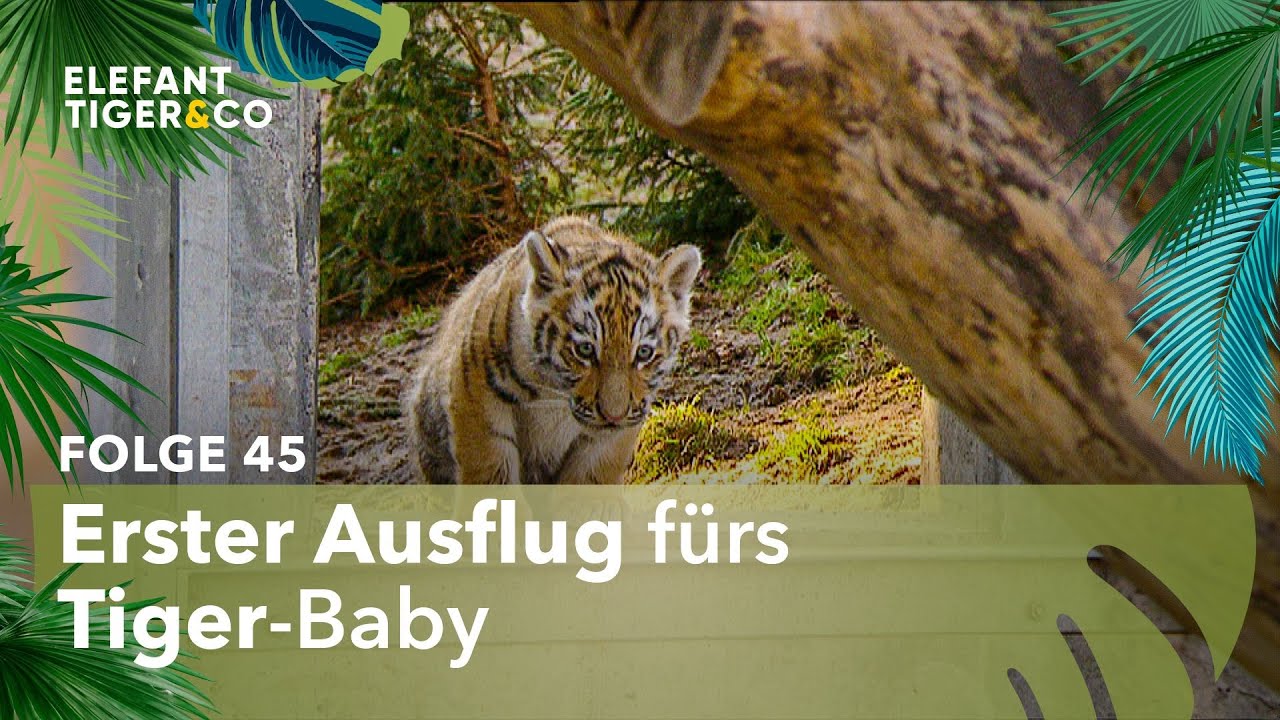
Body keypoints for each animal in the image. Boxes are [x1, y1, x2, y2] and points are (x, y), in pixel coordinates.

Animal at [405, 216, 702, 484]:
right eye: (584, 349)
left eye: (643, 353)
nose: (613, 416)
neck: (554, 394)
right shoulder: (478, 399)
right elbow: (492, 476)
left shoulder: (612, 437)